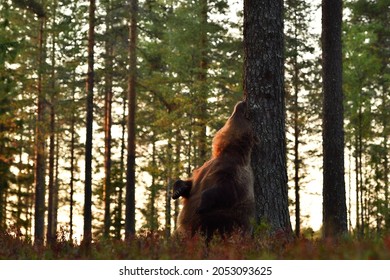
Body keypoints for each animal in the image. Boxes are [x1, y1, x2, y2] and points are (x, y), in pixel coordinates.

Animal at [172, 101, 254, 241]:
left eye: (246, 116)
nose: (242, 102)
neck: (225, 151)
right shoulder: (205, 167)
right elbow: (191, 183)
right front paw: (178, 189)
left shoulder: (232, 172)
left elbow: (225, 190)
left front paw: (201, 205)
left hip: (221, 222)